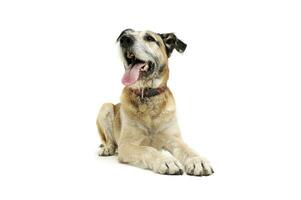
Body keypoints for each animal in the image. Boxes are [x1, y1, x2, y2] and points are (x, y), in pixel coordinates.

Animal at [96, 28, 213, 176]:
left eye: (149, 38)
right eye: (127, 34)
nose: (125, 39)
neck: (147, 95)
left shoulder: (174, 138)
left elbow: (187, 149)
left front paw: (197, 161)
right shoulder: (127, 145)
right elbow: (148, 149)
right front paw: (166, 161)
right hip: (105, 107)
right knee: (109, 140)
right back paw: (107, 148)